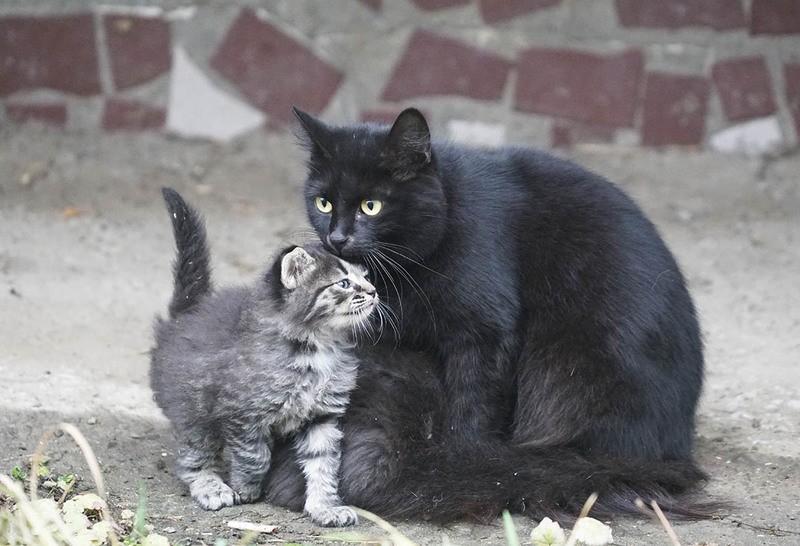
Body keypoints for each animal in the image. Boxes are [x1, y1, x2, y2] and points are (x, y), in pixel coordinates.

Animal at [150, 187, 376, 524]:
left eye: (366, 277)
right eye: (344, 283)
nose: (374, 292)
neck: (316, 347)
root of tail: (185, 314)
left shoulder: (322, 416)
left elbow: (324, 464)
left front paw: (326, 507)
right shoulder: (240, 412)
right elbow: (255, 455)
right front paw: (246, 487)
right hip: (194, 409)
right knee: (193, 457)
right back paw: (211, 487)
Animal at [266, 108, 708, 520]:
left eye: (371, 206)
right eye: (323, 202)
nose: (337, 238)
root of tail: (672, 444)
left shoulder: (485, 334)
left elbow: (472, 408)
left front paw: (463, 460)